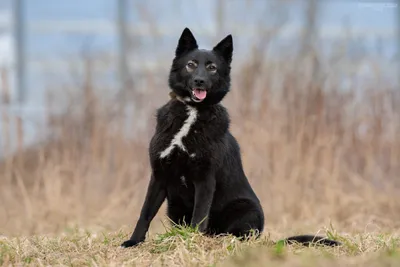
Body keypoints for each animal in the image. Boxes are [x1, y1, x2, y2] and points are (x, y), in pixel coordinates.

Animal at [120, 28, 340, 248]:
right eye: (191, 65)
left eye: (212, 68)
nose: (199, 81)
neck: (193, 113)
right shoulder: (159, 175)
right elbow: (145, 213)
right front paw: (133, 241)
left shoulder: (205, 179)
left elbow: (199, 215)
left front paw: (192, 241)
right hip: (174, 206)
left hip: (246, 208)